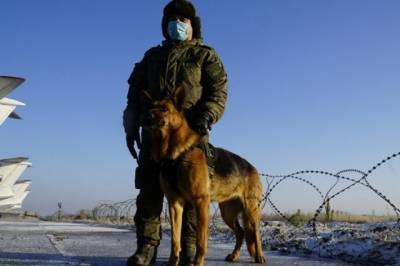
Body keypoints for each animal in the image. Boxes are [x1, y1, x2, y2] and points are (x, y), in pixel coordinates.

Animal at [142, 87, 268, 264]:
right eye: (149, 107)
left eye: (164, 109)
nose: (144, 117)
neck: (176, 154)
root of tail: (253, 168)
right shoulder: (175, 204)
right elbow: (175, 240)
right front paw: (173, 262)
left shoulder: (201, 202)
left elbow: (201, 242)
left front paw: (197, 263)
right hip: (227, 213)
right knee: (241, 232)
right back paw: (234, 255)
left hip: (251, 210)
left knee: (256, 233)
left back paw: (260, 256)